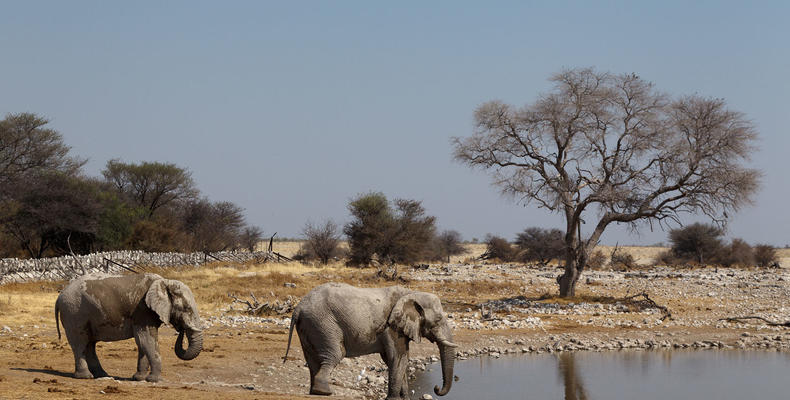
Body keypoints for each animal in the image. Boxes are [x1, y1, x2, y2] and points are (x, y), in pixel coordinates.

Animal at [55, 272, 204, 382]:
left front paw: (139, 378)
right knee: (80, 343)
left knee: (89, 344)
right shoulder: (142, 310)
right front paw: (155, 380)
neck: (164, 282)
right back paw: (85, 377)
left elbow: (143, 343)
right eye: (186, 309)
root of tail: (60, 295)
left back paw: (102, 375)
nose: (180, 329)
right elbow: (146, 340)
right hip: (74, 312)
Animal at [284, 282, 458, 398]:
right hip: (323, 324)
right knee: (336, 354)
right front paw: (393, 398)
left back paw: (314, 391)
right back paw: (325, 392)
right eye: (438, 320)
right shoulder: (391, 328)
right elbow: (398, 358)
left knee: (312, 359)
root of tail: (298, 308)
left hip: (310, 326)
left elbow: (396, 359)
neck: (411, 293)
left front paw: (405, 398)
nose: (436, 388)